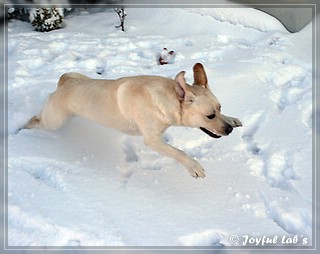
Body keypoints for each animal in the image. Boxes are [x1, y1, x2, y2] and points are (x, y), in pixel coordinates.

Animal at [26, 63, 241, 179]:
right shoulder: (152, 140)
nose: (228, 130)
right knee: (36, 119)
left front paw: (233, 119)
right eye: (209, 116)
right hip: (54, 120)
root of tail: (64, 83)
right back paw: (25, 130)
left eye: (220, 109)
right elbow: (178, 152)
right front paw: (194, 166)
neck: (169, 98)